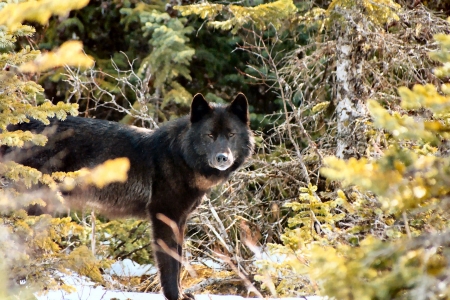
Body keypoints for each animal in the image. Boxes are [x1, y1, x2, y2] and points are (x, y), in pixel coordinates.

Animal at [0, 94, 253, 300]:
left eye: (231, 135)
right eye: (209, 135)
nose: (222, 158)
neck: (180, 156)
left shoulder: (180, 220)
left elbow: (179, 260)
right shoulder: (164, 217)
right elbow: (170, 264)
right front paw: (175, 296)